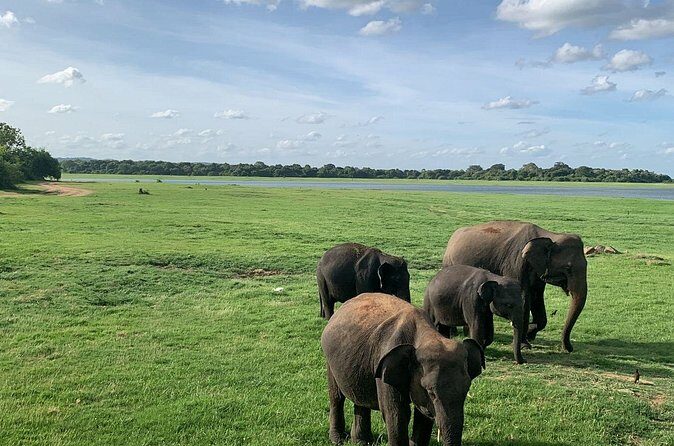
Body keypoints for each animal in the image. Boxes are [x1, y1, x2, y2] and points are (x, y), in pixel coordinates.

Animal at [321, 293, 484, 446]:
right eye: (431, 393)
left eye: (466, 390)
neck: (428, 336)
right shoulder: (384, 367)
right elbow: (397, 414)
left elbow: (424, 416)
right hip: (329, 360)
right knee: (336, 397)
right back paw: (338, 439)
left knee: (360, 399)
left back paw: (362, 442)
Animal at [443, 220, 588, 353]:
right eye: (568, 268)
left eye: (586, 264)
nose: (568, 349)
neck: (549, 235)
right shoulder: (515, 263)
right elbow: (523, 296)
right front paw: (525, 344)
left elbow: (536, 297)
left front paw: (530, 333)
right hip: (449, 263)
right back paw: (453, 332)